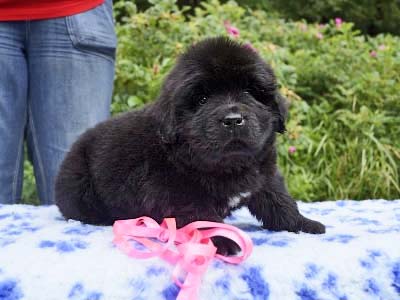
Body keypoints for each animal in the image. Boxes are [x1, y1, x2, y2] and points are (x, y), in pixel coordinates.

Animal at [55, 37, 324, 253]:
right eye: (202, 99)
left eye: (249, 92)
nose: (233, 119)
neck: (227, 165)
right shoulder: (177, 193)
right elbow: (203, 218)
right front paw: (224, 240)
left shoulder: (264, 174)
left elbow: (280, 201)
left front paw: (304, 223)